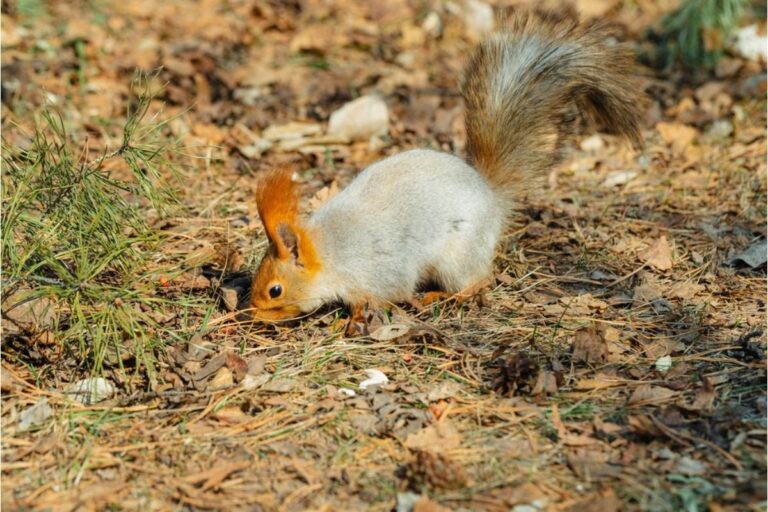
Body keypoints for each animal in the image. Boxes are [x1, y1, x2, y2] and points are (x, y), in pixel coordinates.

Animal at [248, 12, 644, 329]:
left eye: (275, 290)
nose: (251, 313)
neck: (331, 251)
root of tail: (489, 193)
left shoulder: (379, 272)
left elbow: (385, 294)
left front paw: (352, 320)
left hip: (457, 256)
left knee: (477, 281)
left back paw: (444, 297)